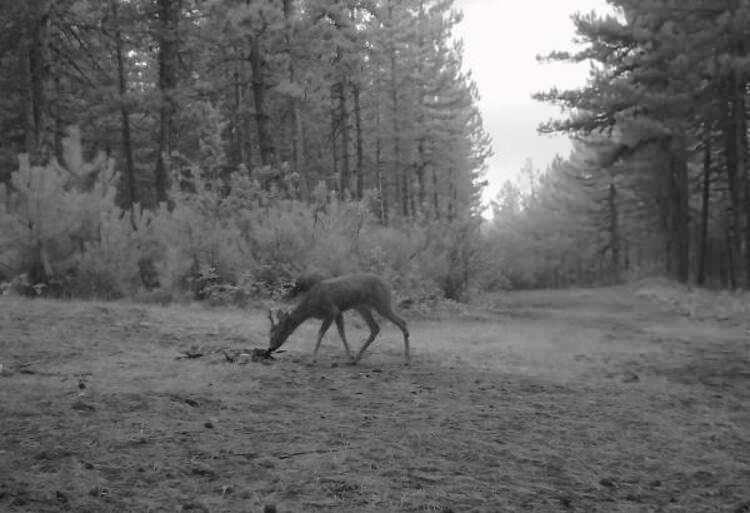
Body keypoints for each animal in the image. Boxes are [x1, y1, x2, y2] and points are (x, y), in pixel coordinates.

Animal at [268, 272, 412, 364]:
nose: (270, 348)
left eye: (278, 332)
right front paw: (349, 356)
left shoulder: (332, 310)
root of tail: (388, 284)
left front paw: (312, 359)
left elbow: (321, 333)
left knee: (402, 322)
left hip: (382, 303)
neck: (310, 307)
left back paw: (407, 359)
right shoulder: (338, 312)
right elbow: (342, 333)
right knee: (375, 328)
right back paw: (356, 358)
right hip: (362, 306)